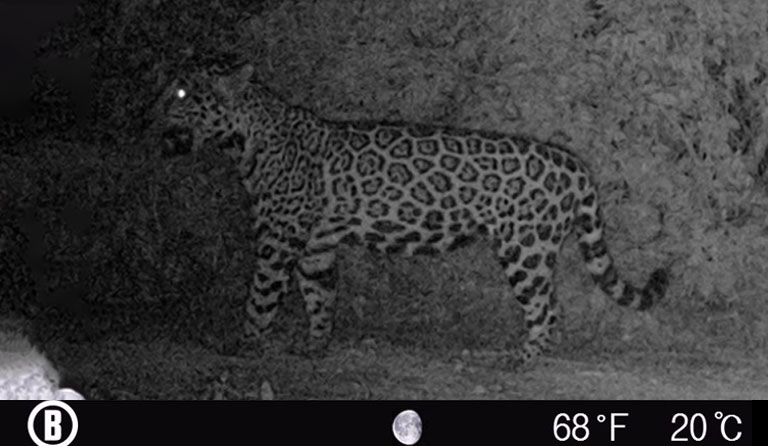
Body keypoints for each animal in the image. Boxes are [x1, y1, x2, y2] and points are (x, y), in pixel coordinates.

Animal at [160, 62, 669, 364]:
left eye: (183, 94)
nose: (151, 109)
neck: (244, 142)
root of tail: (574, 164)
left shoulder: (278, 241)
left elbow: (261, 297)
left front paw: (243, 345)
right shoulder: (315, 246)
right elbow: (321, 297)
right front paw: (315, 346)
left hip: (526, 248)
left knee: (547, 306)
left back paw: (523, 358)